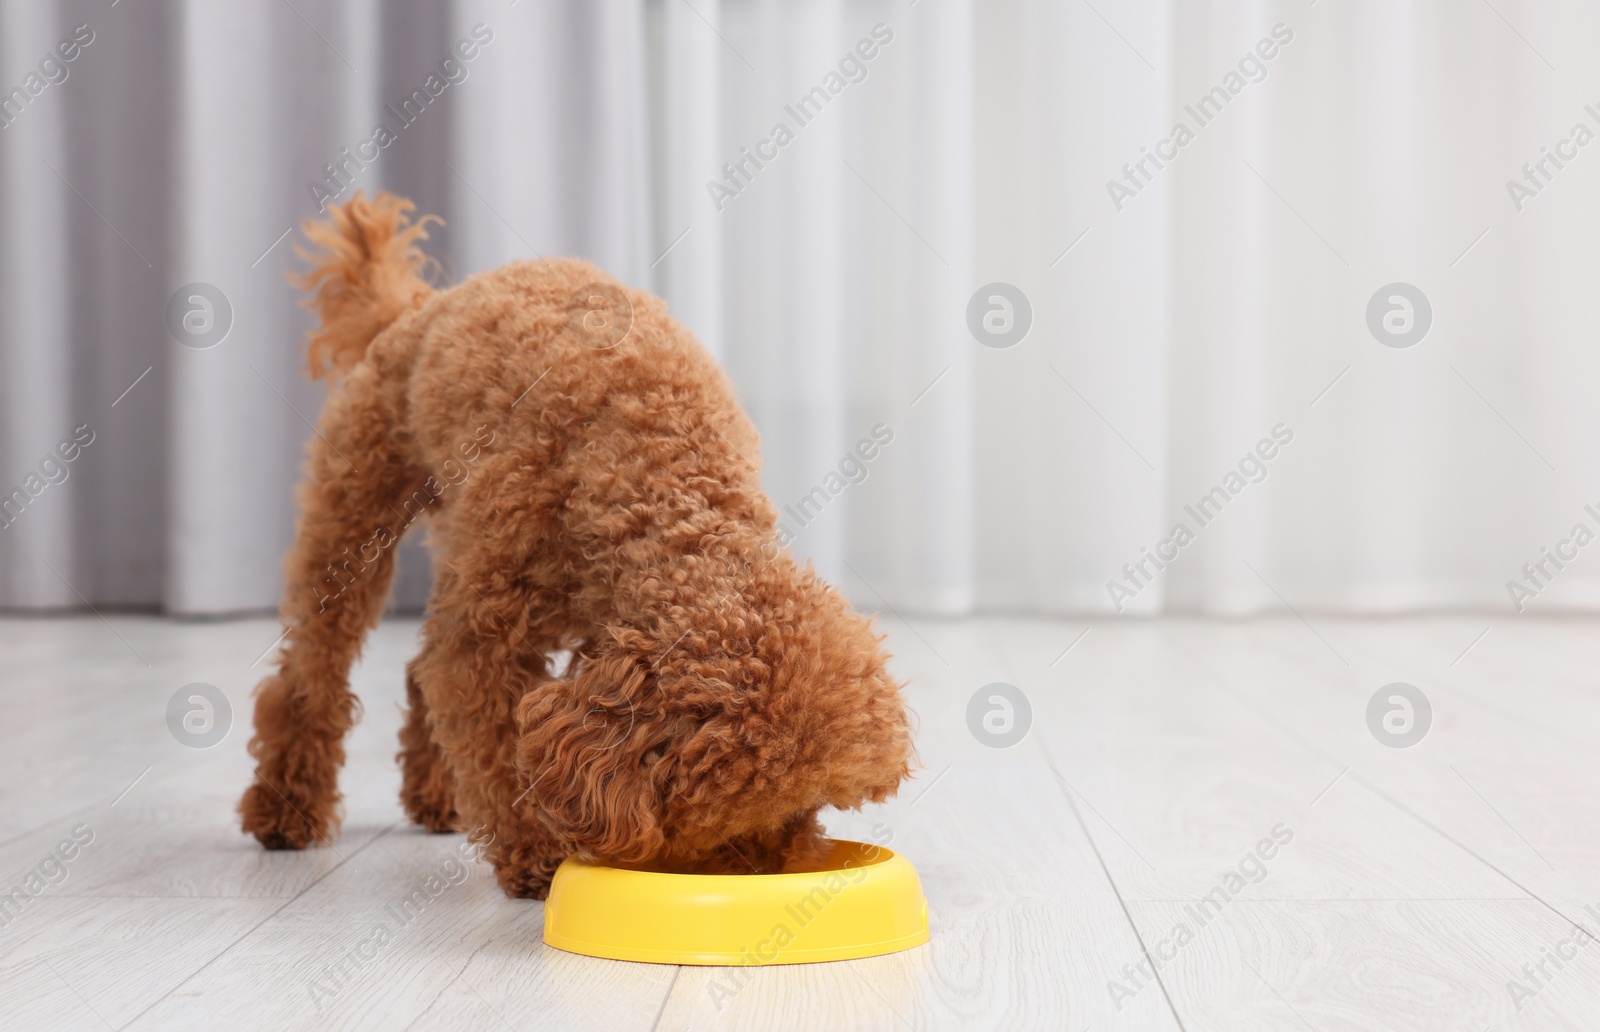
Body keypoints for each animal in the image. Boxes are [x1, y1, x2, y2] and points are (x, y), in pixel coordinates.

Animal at [236, 191, 915, 896]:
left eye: (808, 808)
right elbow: (500, 749)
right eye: (736, 815)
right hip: (353, 519)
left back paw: (436, 799)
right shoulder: (489, 637)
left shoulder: (602, 628)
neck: (655, 476)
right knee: (313, 670)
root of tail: (418, 306)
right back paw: (286, 810)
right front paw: (538, 856)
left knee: (420, 668)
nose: (772, 873)